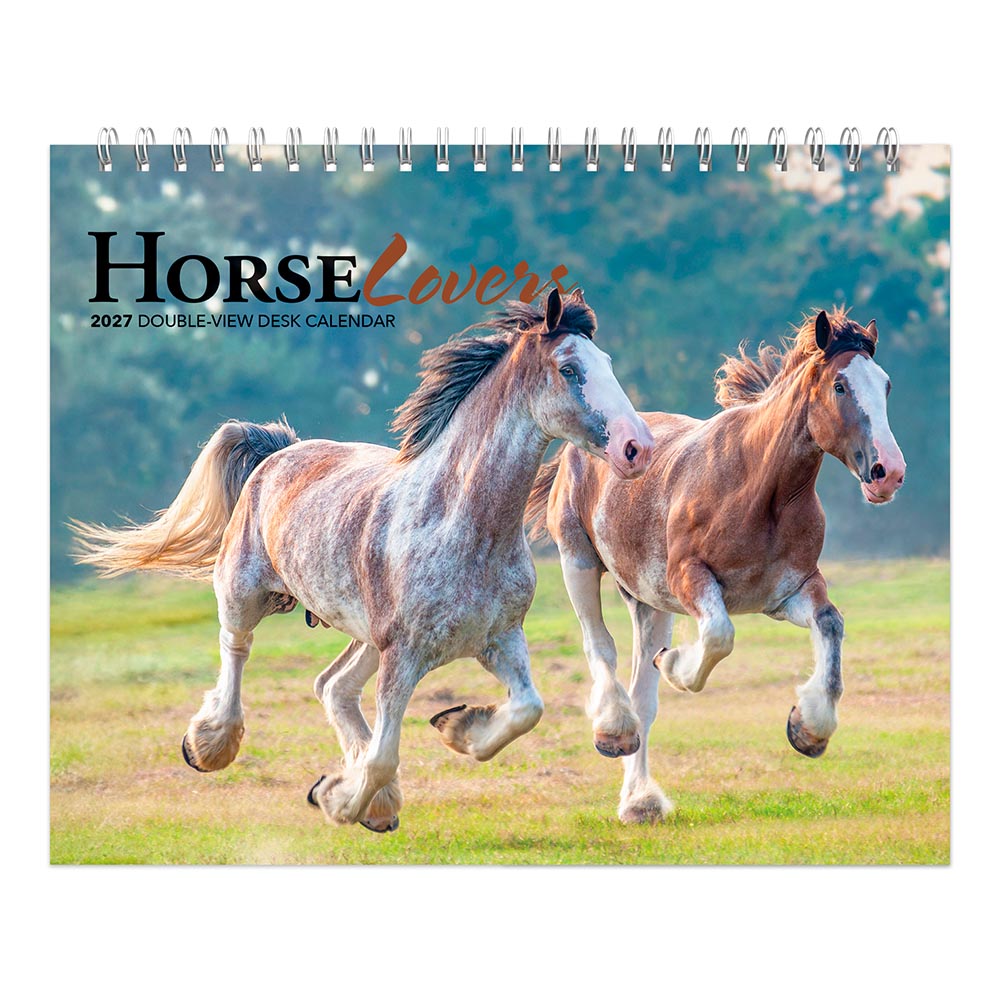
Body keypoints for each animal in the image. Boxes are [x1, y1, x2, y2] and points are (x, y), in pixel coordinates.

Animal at [72, 289, 654, 833]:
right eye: (570, 369)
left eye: (607, 364)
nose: (637, 448)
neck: (461, 525)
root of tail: (279, 450)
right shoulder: (404, 655)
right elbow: (382, 756)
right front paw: (336, 800)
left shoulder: (499, 639)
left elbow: (527, 710)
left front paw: (456, 727)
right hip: (248, 592)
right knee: (236, 648)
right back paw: (211, 745)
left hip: (364, 634)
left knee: (332, 686)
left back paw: (377, 803)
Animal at [525, 308, 906, 823]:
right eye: (840, 386)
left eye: (885, 385)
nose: (889, 472)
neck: (758, 488)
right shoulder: (690, 578)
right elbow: (720, 635)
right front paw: (676, 664)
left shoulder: (788, 594)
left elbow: (831, 625)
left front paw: (808, 728)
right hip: (578, 561)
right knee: (599, 647)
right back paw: (613, 732)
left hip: (649, 602)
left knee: (644, 699)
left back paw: (640, 802)